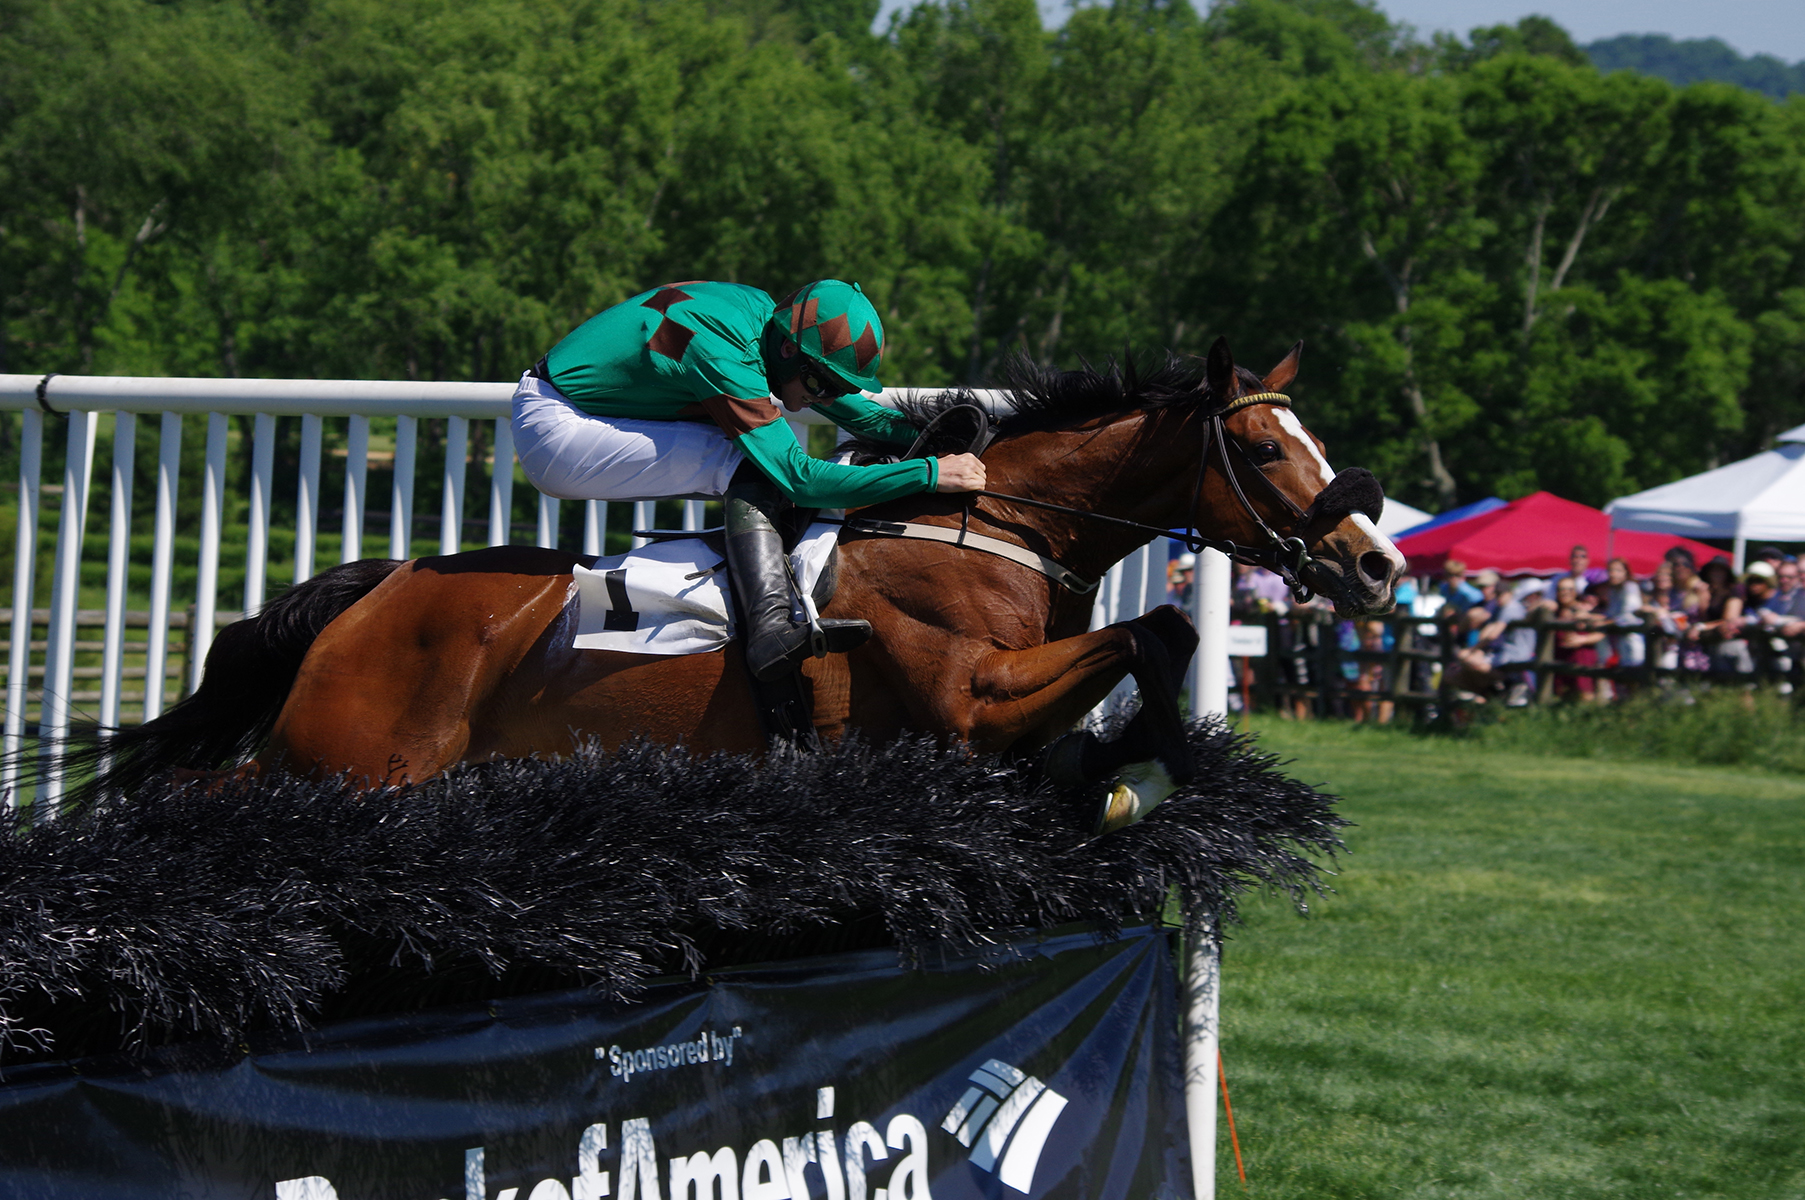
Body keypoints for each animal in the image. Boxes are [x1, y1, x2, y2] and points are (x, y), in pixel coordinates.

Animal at [66, 337, 1393, 804]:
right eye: (1266, 449)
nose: (1375, 566)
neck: (990, 524)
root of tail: (380, 589)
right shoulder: (966, 701)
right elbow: (1148, 635)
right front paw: (1148, 759)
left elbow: (1154, 639)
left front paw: (1117, 759)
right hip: (348, 761)